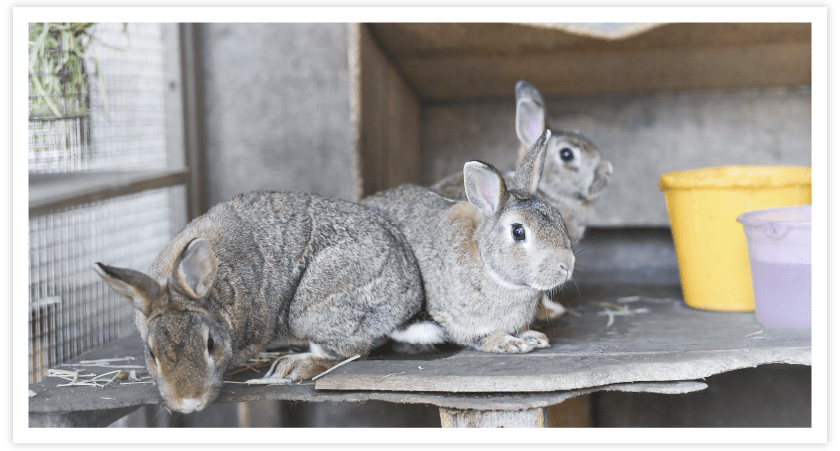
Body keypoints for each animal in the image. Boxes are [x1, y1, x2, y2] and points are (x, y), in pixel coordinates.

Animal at [93, 191, 426, 414]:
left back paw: (292, 367)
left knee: (351, 351)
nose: (189, 403)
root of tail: (410, 289)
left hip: (314, 305)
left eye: (210, 344)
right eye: (151, 352)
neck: (213, 296)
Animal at [364, 129, 576, 354]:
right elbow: (478, 336)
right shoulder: (452, 319)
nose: (567, 265)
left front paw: (532, 337)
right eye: (518, 232)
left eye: (559, 217)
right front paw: (509, 342)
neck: (487, 264)